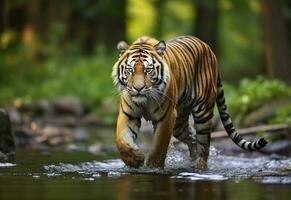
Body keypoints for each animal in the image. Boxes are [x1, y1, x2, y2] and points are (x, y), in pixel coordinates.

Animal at [111, 35, 266, 170]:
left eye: (148, 70)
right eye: (130, 70)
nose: (138, 88)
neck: (146, 100)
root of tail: (210, 50)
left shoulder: (167, 117)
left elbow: (158, 147)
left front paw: (152, 167)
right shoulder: (128, 113)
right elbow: (121, 140)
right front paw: (134, 159)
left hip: (203, 112)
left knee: (203, 144)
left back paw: (199, 166)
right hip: (178, 122)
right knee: (192, 136)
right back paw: (192, 159)